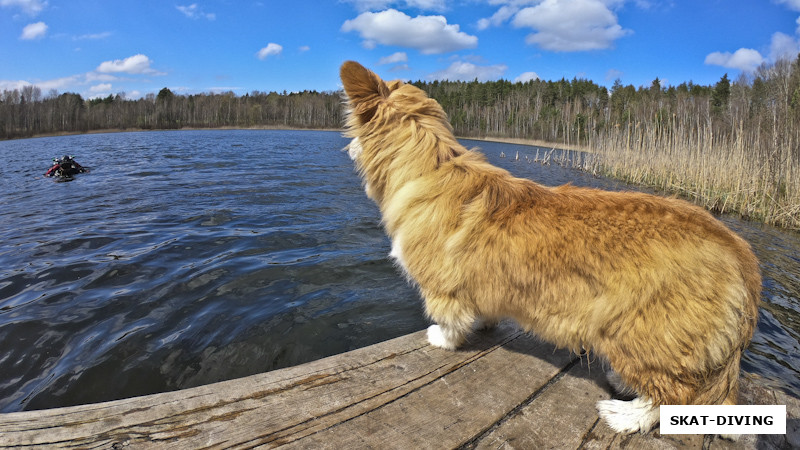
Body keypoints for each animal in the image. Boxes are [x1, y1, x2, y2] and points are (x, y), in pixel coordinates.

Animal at [340, 59, 764, 432]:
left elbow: (450, 321)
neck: (433, 164)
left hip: (636, 329)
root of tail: (739, 250)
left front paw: (440, 339)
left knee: (674, 396)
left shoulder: (442, 288)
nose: (347, 150)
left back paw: (624, 414)